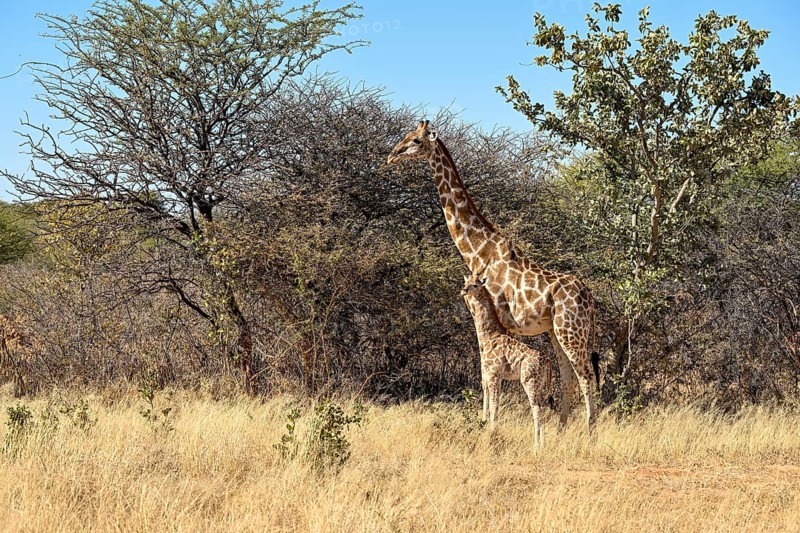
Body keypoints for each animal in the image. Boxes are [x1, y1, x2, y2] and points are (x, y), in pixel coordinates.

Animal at [462, 274, 552, 445]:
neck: (488, 336)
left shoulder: (494, 375)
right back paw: (543, 443)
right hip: (541, 384)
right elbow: (486, 402)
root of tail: (547, 363)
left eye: (475, 285)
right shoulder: (486, 376)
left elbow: (494, 406)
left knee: (536, 408)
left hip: (529, 380)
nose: (463, 290)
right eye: (465, 282)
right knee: (543, 406)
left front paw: (492, 434)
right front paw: (485, 427)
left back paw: (536, 445)